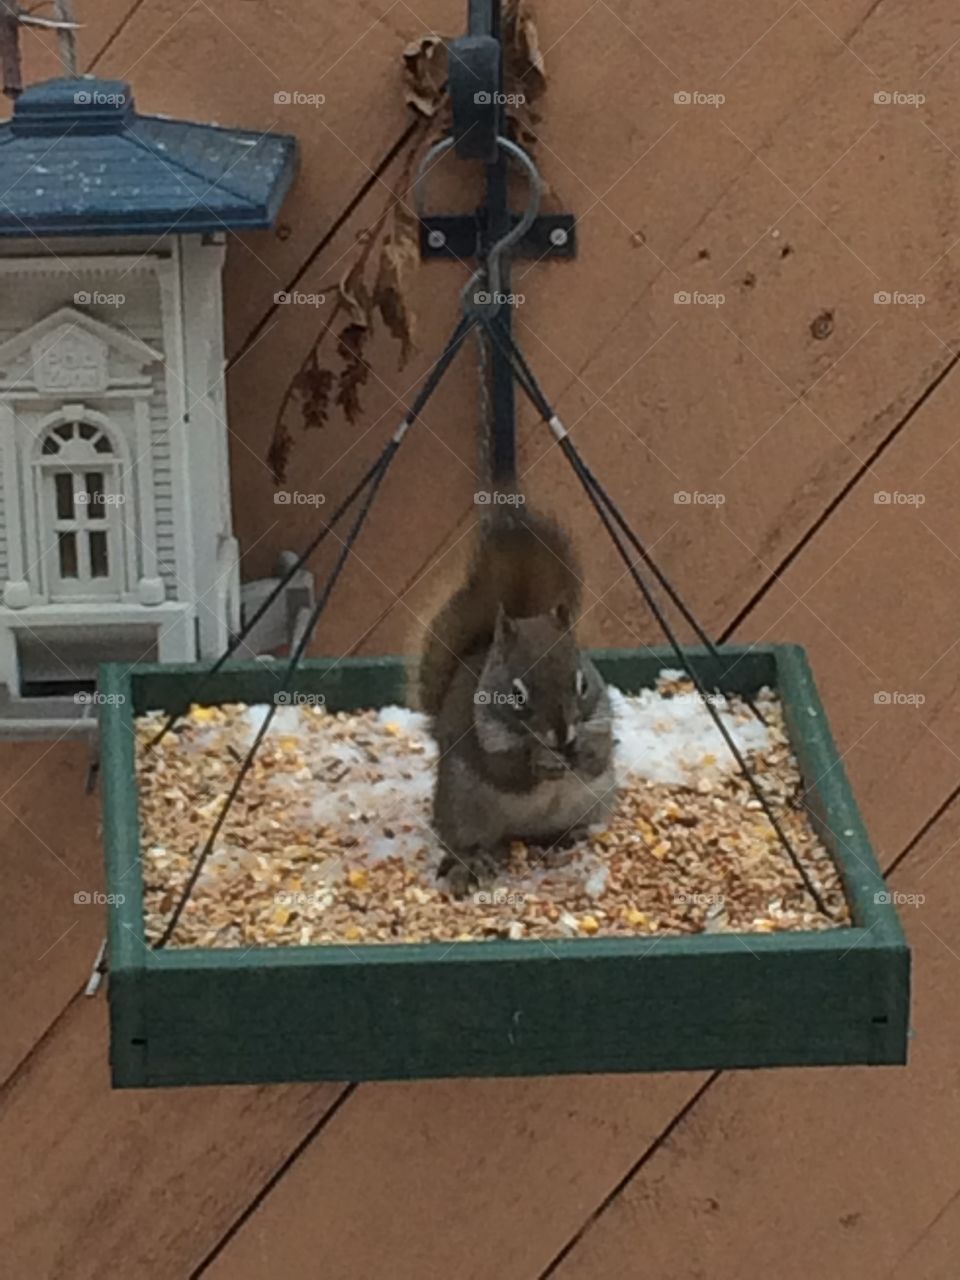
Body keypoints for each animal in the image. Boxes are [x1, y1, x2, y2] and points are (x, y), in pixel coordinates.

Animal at [416, 488, 617, 897]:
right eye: (517, 695)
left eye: (583, 684)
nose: (562, 734)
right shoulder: (484, 738)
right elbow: (508, 769)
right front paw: (540, 760)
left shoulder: (601, 719)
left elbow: (597, 755)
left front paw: (579, 752)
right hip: (461, 809)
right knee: (467, 842)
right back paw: (473, 861)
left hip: (594, 801)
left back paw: (570, 836)